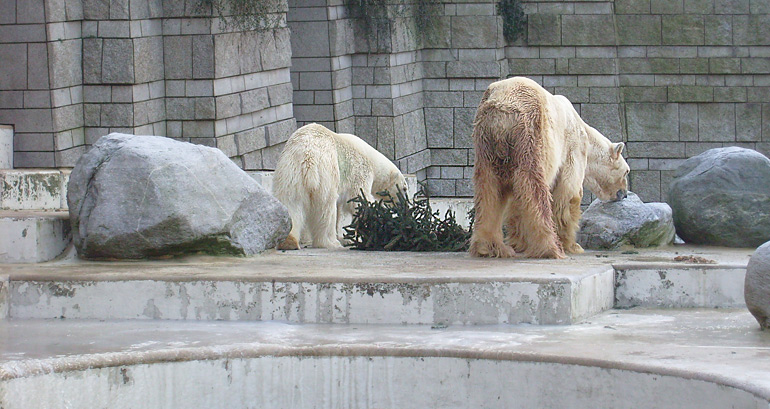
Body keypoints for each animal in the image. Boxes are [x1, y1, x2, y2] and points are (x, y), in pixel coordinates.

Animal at [272, 122, 408, 249]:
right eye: (405, 188)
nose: (403, 204)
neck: (372, 159)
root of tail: (308, 156)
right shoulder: (359, 171)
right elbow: (359, 199)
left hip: (290, 173)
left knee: (291, 203)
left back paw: (288, 242)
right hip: (326, 173)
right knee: (326, 209)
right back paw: (329, 242)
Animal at [464, 76, 628, 258]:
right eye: (626, 172)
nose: (624, 194)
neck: (584, 130)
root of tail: (501, 116)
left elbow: (515, 204)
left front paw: (519, 243)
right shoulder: (573, 147)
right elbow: (568, 194)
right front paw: (572, 245)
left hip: (486, 144)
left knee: (489, 190)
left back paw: (489, 247)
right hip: (532, 134)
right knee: (533, 187)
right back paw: (550, 248)